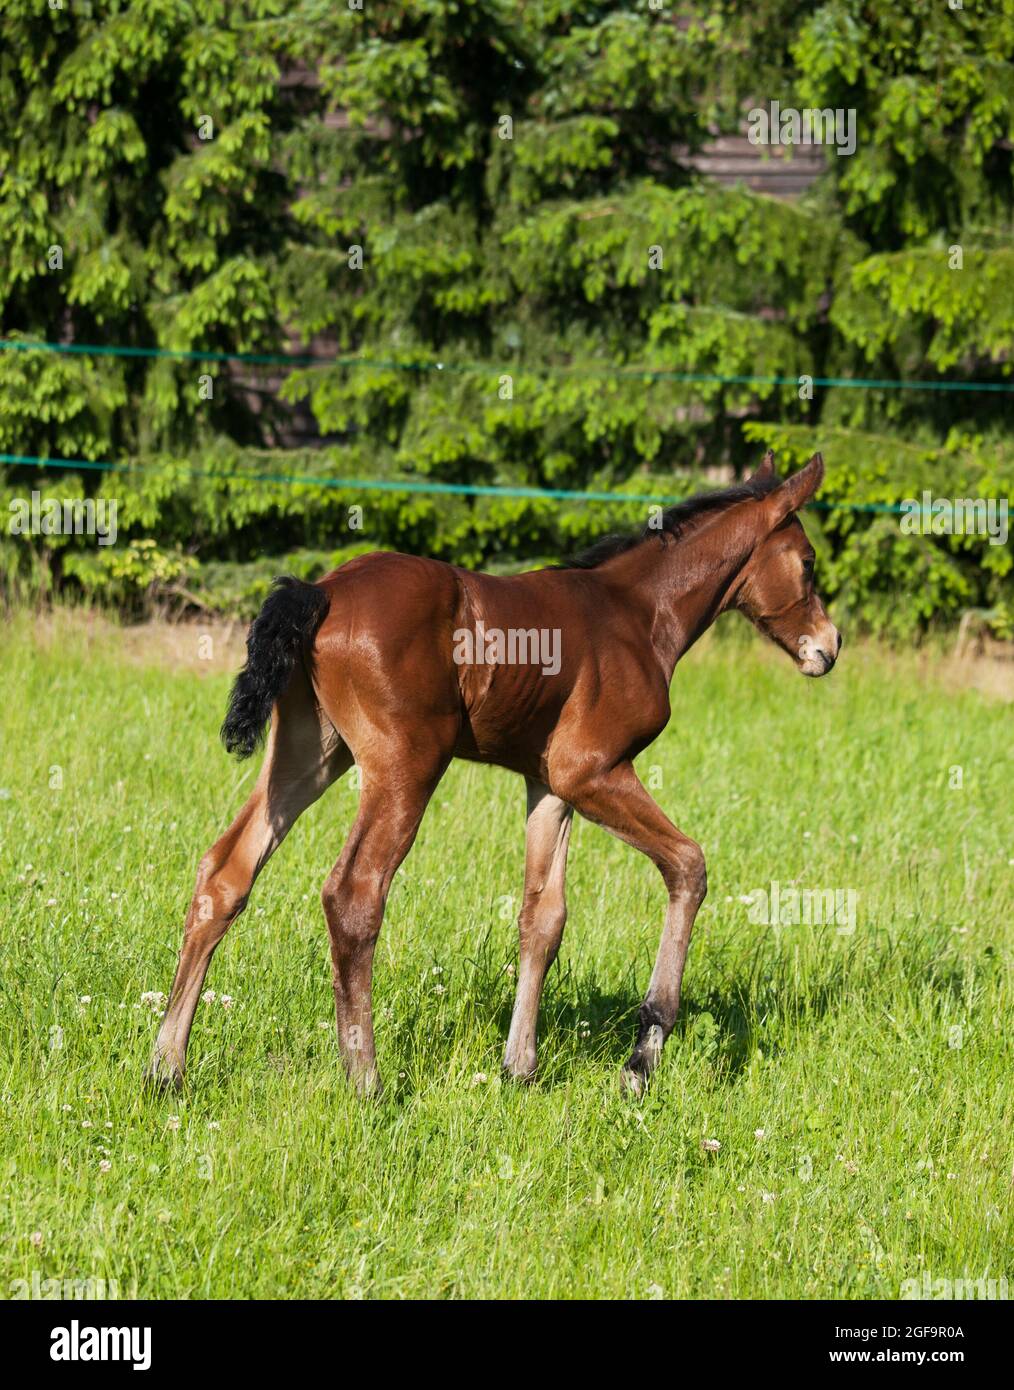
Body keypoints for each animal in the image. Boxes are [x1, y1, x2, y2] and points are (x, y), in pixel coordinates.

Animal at [150, 450, 840, 1089]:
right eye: (807, 563)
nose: (828, 648)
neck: (639, 614)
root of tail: (323, 591)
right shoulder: (592, 771)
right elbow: (689, 866)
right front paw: (642, 1056)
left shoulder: (550, 785)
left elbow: (543, 917)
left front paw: (519, 1066)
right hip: (405, 765)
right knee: (353, 894)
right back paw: (366, 1081)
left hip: (309, 755)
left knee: (225, 874)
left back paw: (165, 1067)